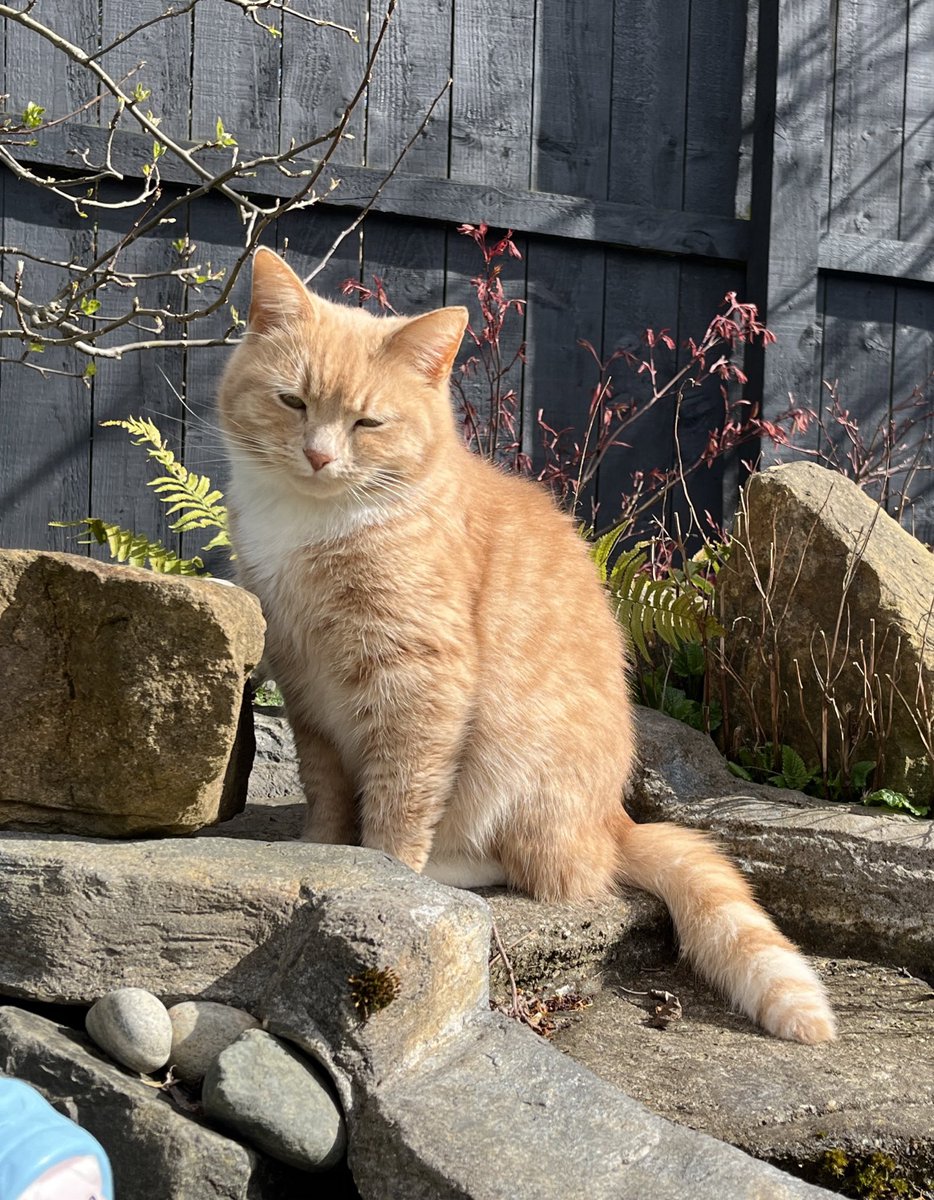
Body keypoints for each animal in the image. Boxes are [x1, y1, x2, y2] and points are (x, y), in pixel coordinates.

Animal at [219, 248, 835, 1046]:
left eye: (368, 421)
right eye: (292, 402)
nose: (320, 457)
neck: (312, 523)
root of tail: (614, 818)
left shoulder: (419, 681)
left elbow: (398, 800)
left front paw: (382, 875)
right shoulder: (305, 688)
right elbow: (325, 788)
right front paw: (321, 855)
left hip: (513, 771)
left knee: (556, 875)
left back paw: (449, 870)